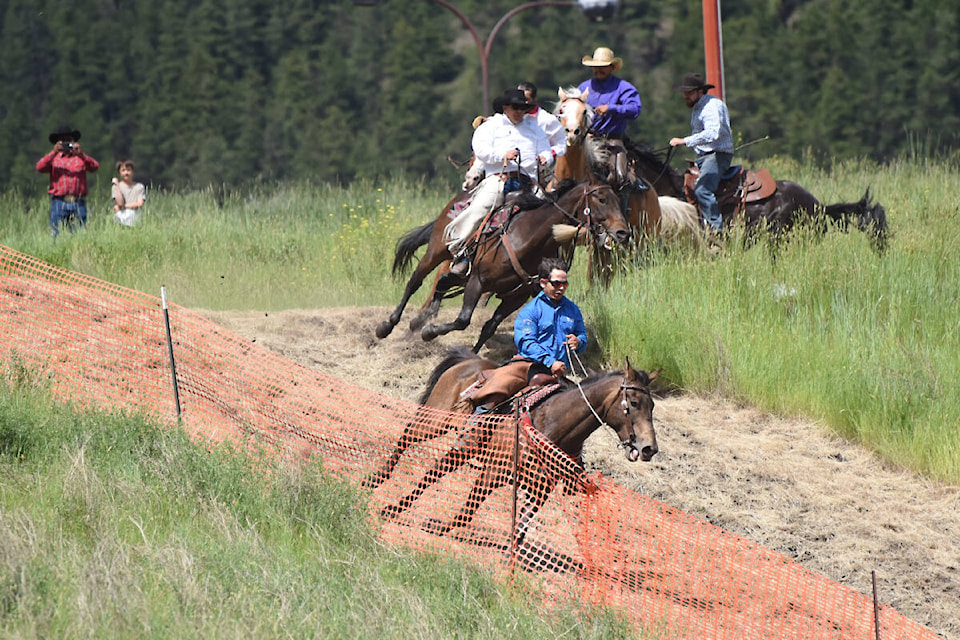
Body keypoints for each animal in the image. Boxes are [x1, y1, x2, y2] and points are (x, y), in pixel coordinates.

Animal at [368, 348, 660, 544]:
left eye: (653, 405)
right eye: (634, 403)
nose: (649, 448)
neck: (550, 423)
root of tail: (468, 360)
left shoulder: (540, 490)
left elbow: (521, 527)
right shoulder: (493, 472)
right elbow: (470, 507)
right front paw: (440, 527)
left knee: (435, 470)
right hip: (435, 420)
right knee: (408, 440)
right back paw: (377, 482)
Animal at [374, 178, 632, 352]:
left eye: (620, 201)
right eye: (602, 199)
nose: (623, 232)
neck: (529, 239)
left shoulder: (517, 296)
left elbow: (489, 327)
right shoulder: (478, 281)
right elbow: (463, 319)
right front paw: (429, 332)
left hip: (459, 272)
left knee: (443, 282)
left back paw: (420, 319)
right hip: (437, 251)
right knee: (415, 281)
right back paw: (388, 325)